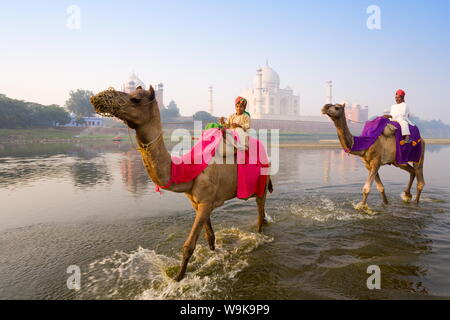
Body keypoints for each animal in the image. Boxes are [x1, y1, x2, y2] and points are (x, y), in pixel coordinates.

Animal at [89, 86, 272, 282]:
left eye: (136, 99)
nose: (99, 97)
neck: (186, 169)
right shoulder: (197, 202)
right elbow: (210, 236)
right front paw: (213, 255)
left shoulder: (206, 202)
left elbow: (188, 246)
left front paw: (178, 278)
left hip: (261, 184)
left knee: (260, 212)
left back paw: (260, 234)